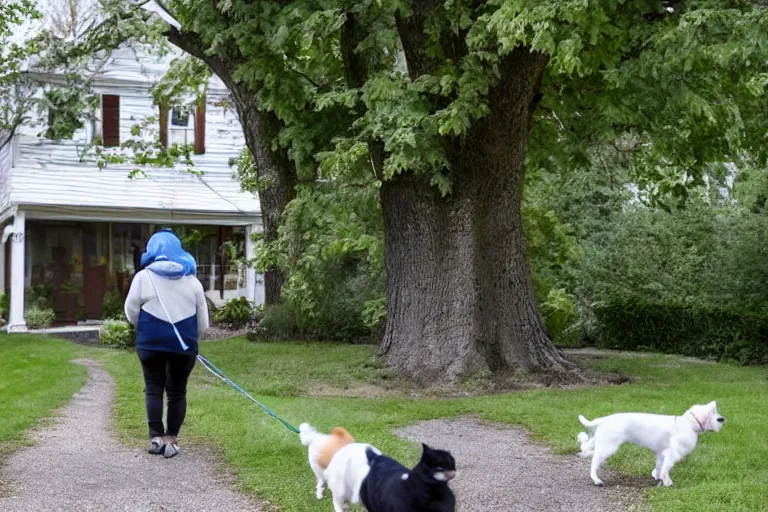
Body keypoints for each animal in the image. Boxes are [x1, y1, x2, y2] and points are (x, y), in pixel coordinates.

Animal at [576, 400, 728, 488]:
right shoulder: (672, 454)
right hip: (608, 446)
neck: (688, 423)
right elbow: (666, 469)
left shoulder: (661, 453)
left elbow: (659, 467)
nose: (722, 419)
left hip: (602, 441)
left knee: (587, 447)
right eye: (713, 413)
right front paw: (667, 482)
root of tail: (604, 419)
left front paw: (658, 476)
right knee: (595, 460)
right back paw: (596, 480)